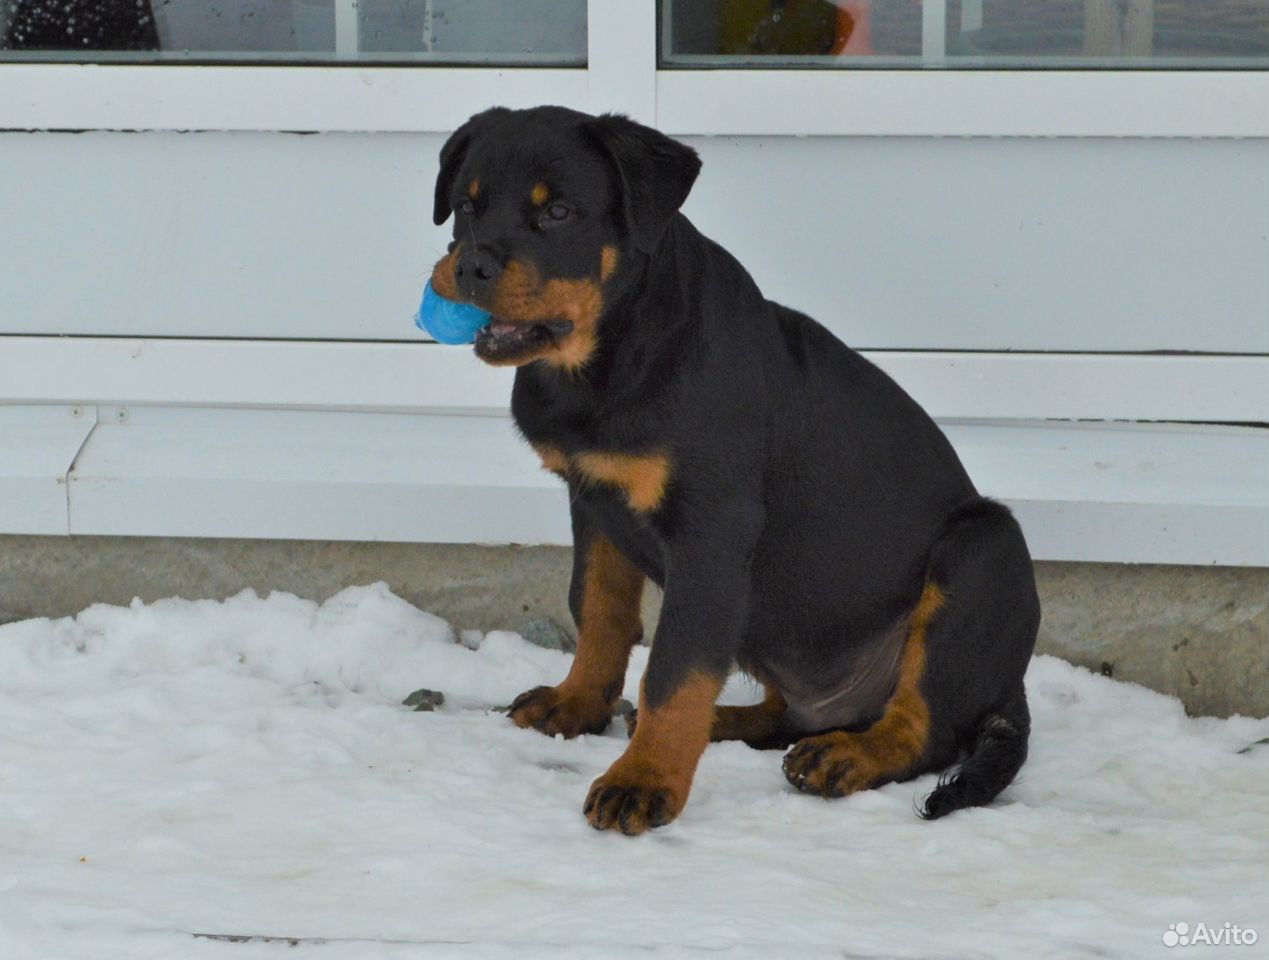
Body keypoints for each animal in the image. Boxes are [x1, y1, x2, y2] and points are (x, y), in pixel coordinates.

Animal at [428, 104, 1040, 831]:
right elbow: (599, 611)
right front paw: (577, 705)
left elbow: (675, 667)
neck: (613, 355)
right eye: (467, 206)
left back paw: (850, 755)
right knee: (790, 713)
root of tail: (1010, 687)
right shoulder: (594, 502)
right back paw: (732, 722)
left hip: (982, 547)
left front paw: (643, 781)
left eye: (557, 213)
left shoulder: (711, 529)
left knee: (925, 728)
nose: (470, 266)